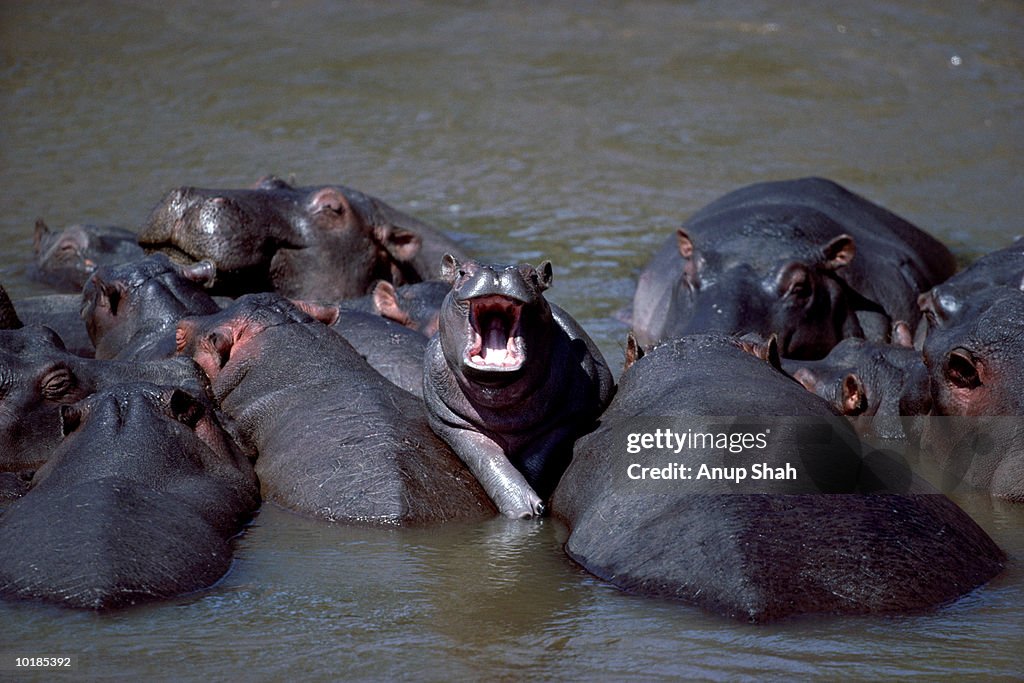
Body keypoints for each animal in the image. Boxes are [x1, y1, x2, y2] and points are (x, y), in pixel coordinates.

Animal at [423, 255, 614, 518]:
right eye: (462, 273)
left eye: (533, 276)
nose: (498, 273)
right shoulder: (451, 423)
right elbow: (487, 459)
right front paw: (523, 509)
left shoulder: (568, 417)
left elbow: (537, 455)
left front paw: (534, 506)